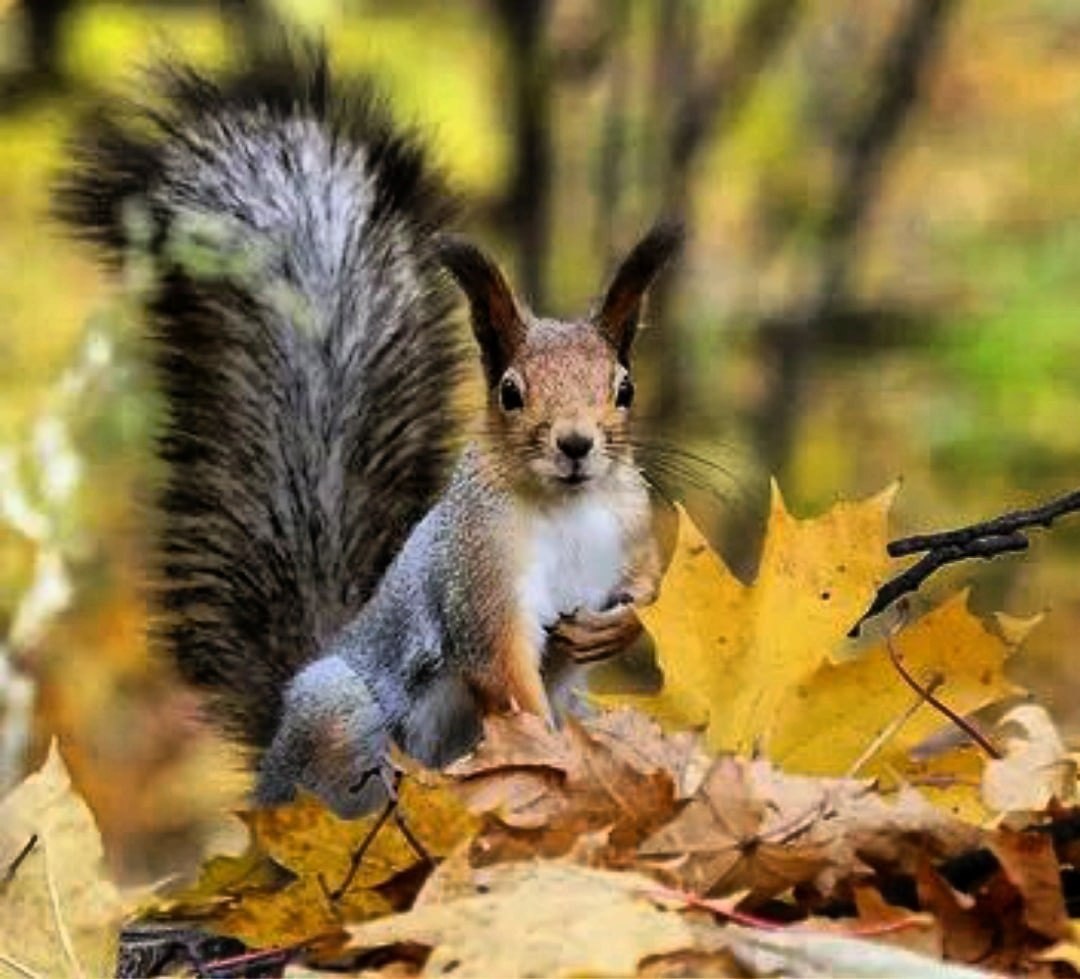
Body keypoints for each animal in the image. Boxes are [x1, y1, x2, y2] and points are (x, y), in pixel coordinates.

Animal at [54, 41, 678, 816]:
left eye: (624, 388)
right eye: (509, 393)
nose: (575, 444)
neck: (570, 507)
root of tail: (272, 760)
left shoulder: (629, 522)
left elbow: (650, 585)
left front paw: (616, 627)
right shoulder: (476, 571)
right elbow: (502, 670)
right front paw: (552, 754)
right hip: (341, 718)